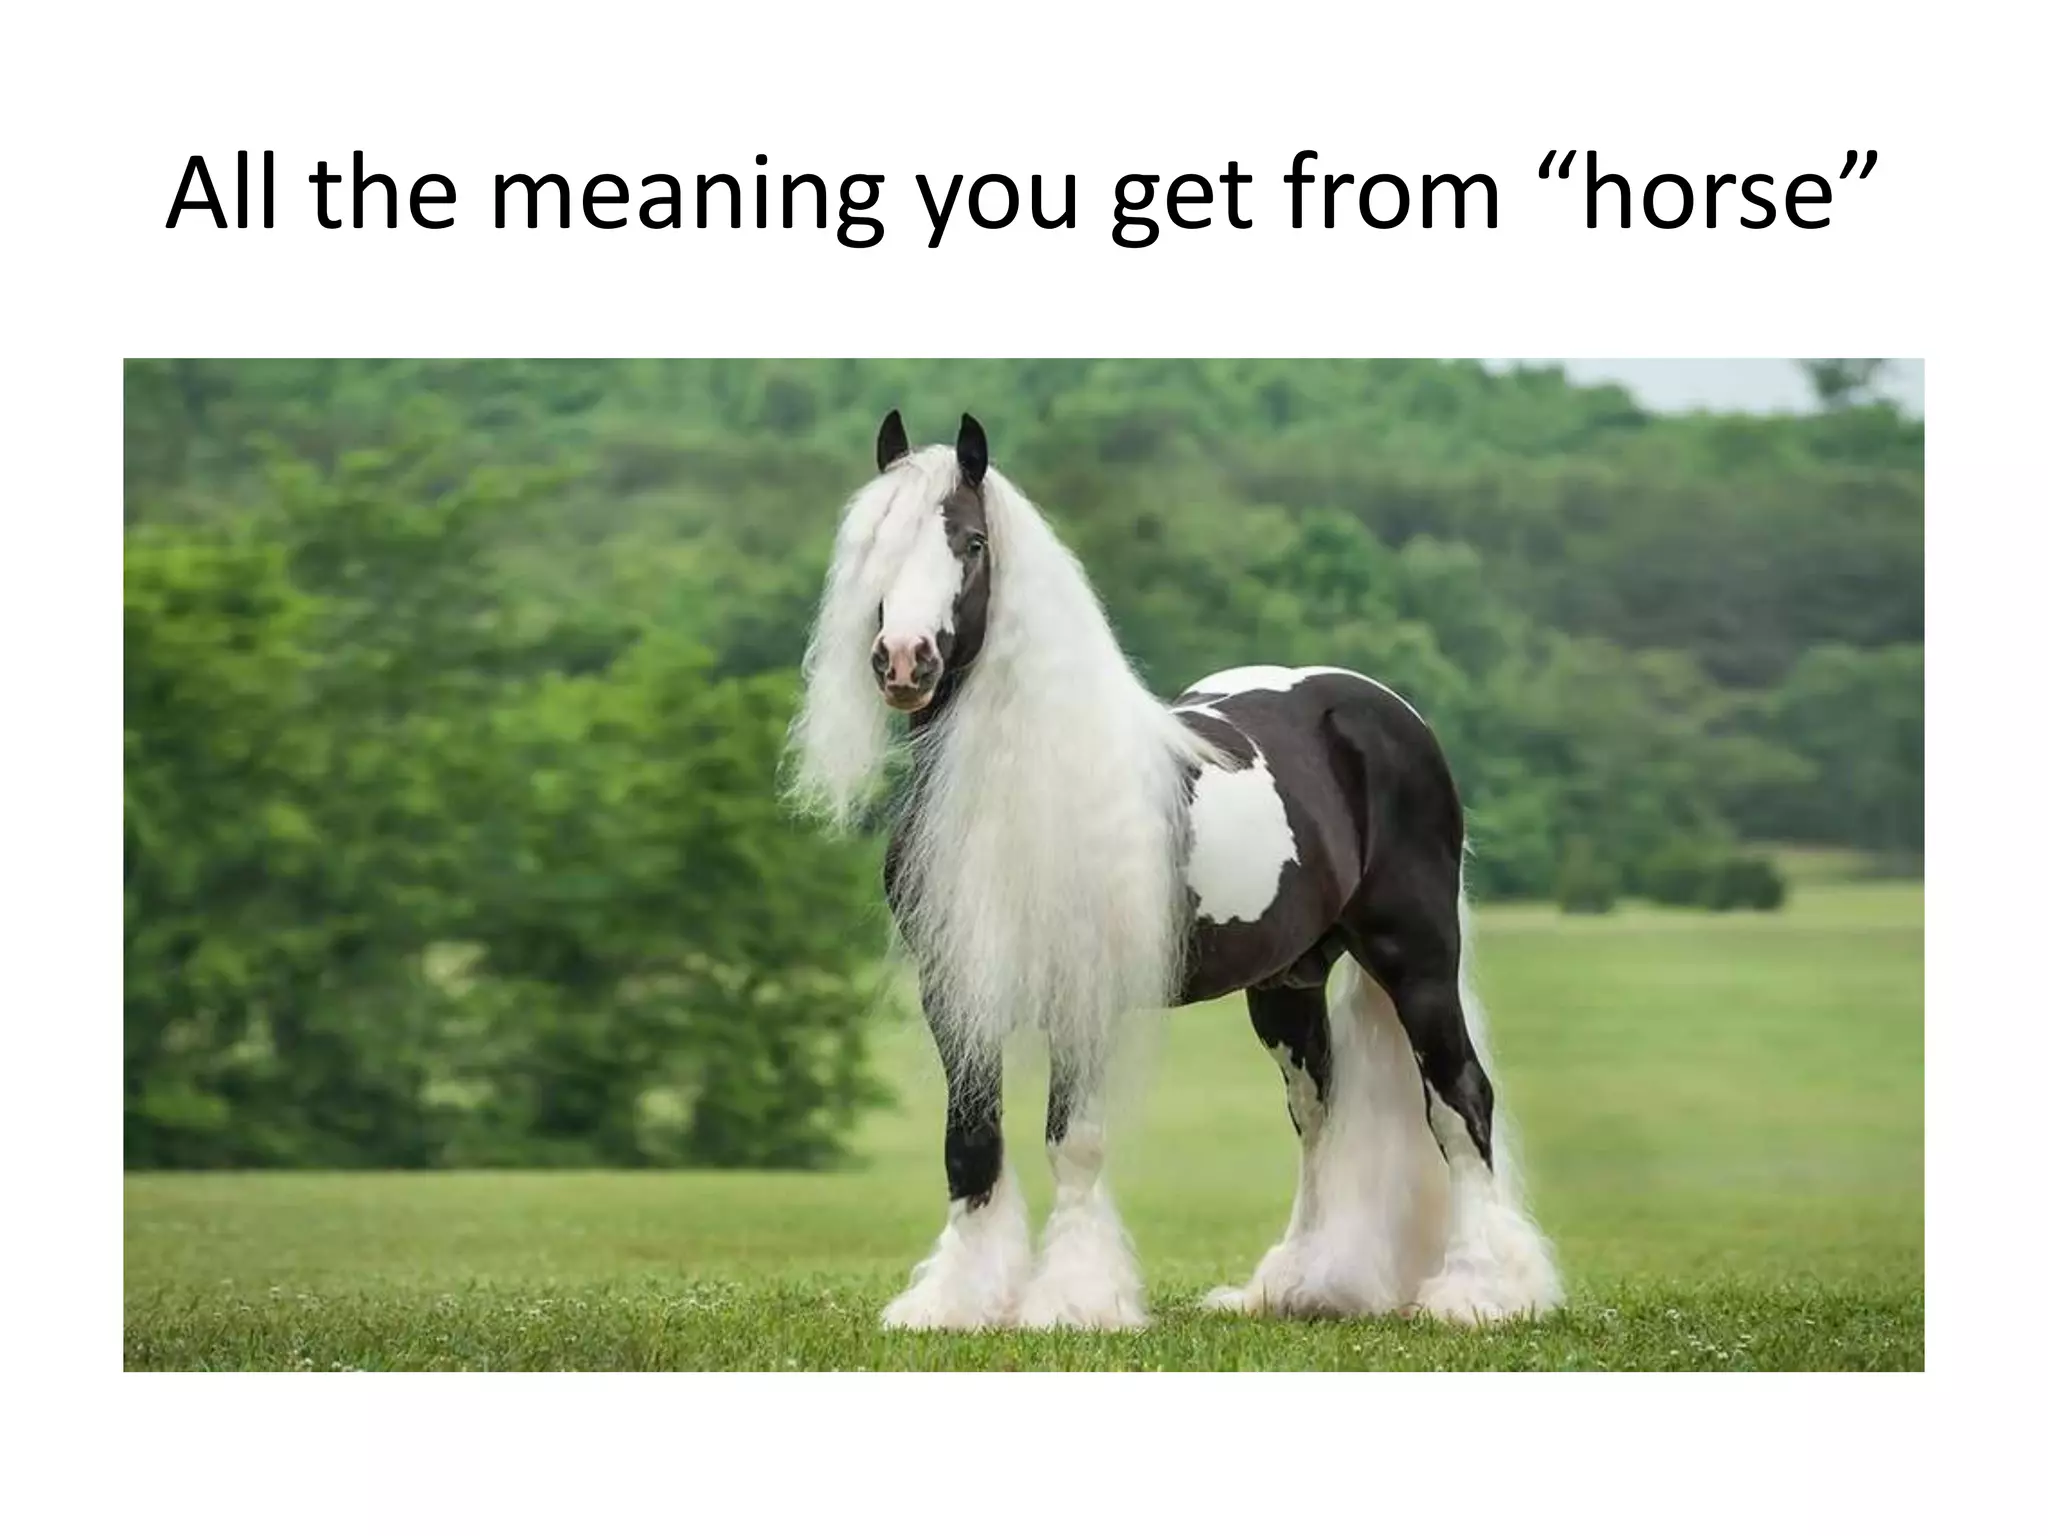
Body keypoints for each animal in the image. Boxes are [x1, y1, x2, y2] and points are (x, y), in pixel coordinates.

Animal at [787, 410, 1563, 1331]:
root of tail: (1382, 709)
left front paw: (1074, 1300)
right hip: (1288, 982)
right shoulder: (955, 992)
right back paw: (1301, 1284)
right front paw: (956, 1301)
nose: (904, 661)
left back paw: (1482, 1291)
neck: (1014, 783)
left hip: (1417, 961)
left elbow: (1074, 1143)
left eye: (971, 542)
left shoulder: (1081, 993)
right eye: (876, 543)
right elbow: (971, 1145)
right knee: (1319, 1115)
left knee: (1459, 1101)